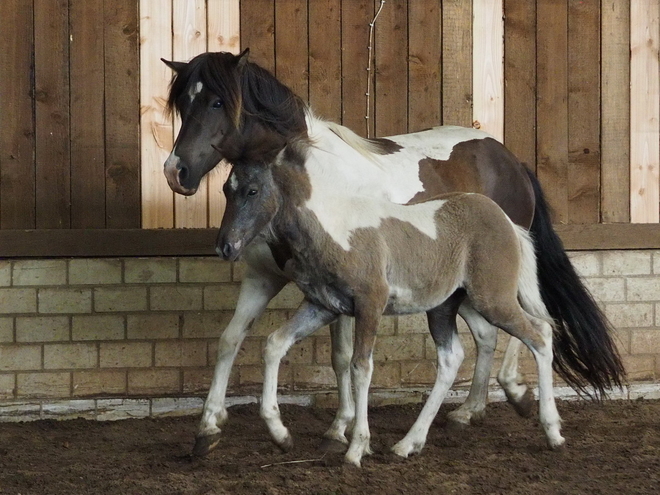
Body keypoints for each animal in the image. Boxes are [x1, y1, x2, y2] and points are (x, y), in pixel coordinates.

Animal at [162, 49, 628, 458]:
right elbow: (232, 339)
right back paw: (468, 411)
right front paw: (208, 430)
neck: (314, 172)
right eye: (183, 104)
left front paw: (341, 429)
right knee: (486, 337)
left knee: (528, 326)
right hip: (455, 295)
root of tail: (512, 160)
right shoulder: (265, 276)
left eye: (217, 101)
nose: (175, 172)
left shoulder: (354, 292)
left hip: (489, 281)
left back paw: (516, 393)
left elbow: (344, 358)